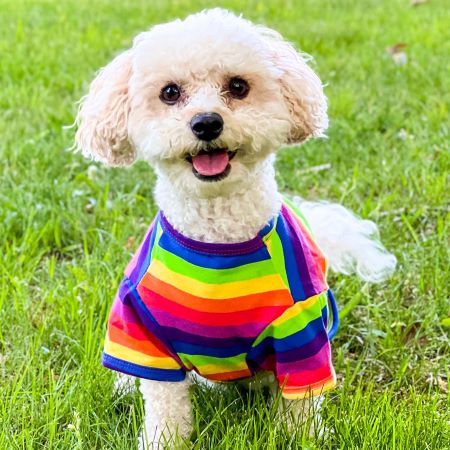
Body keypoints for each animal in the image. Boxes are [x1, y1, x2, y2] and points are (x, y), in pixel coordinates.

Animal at [75, 8, 396, 448]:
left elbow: (299, 405)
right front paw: (161, 440)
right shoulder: (142, 328)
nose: (207, 123)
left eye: (238, 87)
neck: (217, 234)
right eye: (170, 93)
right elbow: (164, 404)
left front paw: (301, 437)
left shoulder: (301, 332)